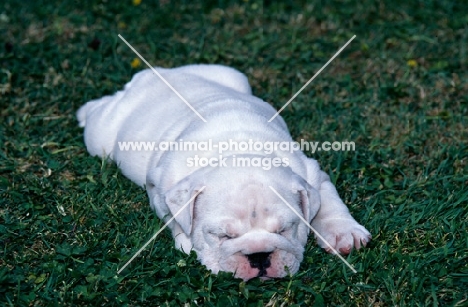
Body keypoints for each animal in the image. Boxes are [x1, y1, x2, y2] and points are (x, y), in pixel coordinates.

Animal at [78, 65, 372, 282]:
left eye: (284, 230)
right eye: (223, 236)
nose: (259, 256)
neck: (238, 150)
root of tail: (149, 75)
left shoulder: (311, 175)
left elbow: (329, 203)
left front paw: (343, 232)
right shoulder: (162, 188)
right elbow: (175, 219)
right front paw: (187, 242)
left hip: (232, 75)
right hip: (101, 137)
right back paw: (87, 109)